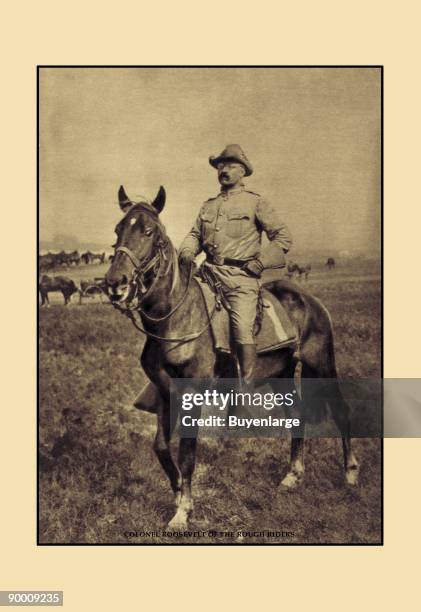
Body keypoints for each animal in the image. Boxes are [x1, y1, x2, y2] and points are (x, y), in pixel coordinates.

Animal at [103, 186, 356, 532]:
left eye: (149, 231)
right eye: (118, 229)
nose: (115, 283)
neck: (176, 316)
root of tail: (310, 300)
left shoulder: (191, 393)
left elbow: (187, 453)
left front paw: (183, 512)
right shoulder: (165, 392)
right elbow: (161, 447)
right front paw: (177, 493)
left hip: (322, 364)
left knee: (341, 409)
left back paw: (350, 473)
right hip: (281, 375)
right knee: (297, 415)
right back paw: (293, 476)